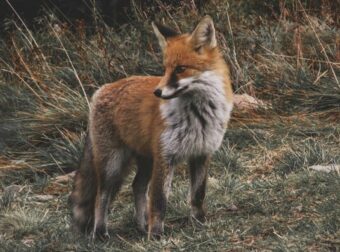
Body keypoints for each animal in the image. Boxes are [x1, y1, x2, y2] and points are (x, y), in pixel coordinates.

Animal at [70, 15, 232, 240]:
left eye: (180, 69)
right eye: (165, 69)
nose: (158, 92)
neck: (198, 116)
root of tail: (102, 89)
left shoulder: (201, 153)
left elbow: (198, 194)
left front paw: (199, 222)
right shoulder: (165, 156)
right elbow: (159, 201)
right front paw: (155, 235)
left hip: (146, 160)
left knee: (137, 186)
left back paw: (141, 225)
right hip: (112, 164)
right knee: (101, 196)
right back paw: (101, 232)